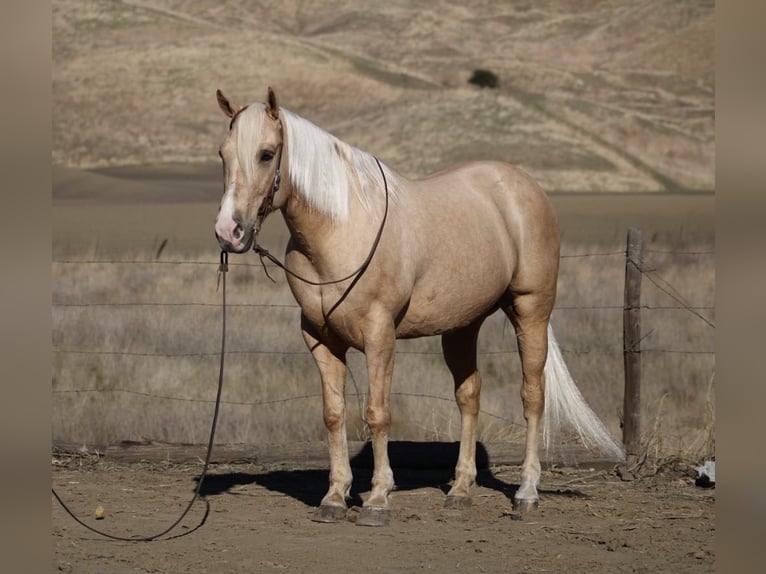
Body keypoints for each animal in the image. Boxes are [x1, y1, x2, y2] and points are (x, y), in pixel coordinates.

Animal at [214, 89, 624, 528]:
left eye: (267, 154)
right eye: (222, 154)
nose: (228, 231)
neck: (341, 230)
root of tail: (524, 187)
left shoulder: (380, 336)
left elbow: (377, 413)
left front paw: (378, 498)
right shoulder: (320, 339)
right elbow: (334, 414)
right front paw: (335, 497)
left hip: (531, 311)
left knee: (533, 395)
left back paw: (526, 493)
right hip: (463, 326)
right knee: (469, 395)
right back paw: (460, 490)